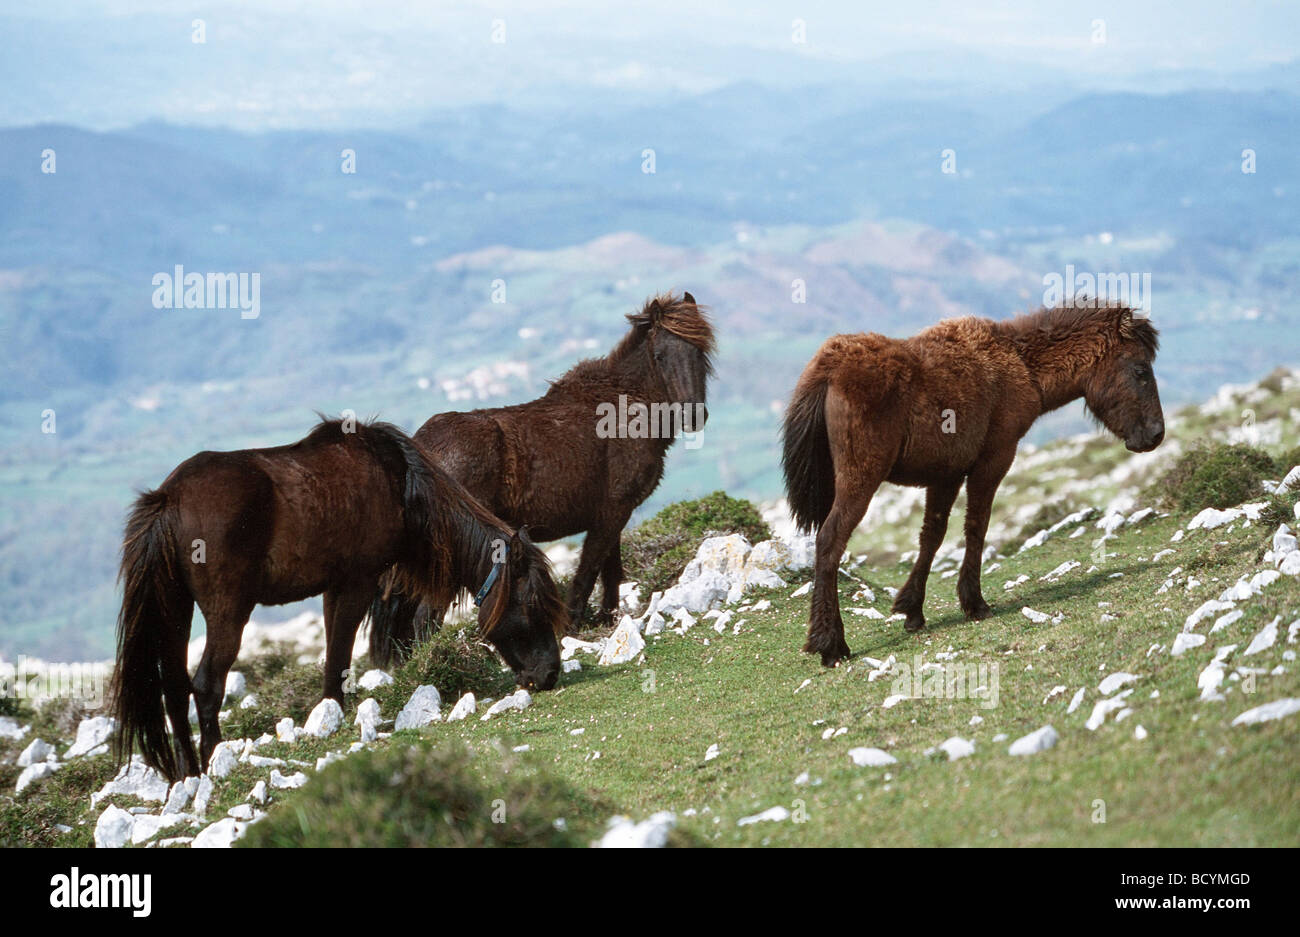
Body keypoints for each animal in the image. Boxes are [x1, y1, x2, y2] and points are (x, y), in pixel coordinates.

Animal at [115, 421, 569, 779]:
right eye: (531, 606)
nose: (549, 673)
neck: (399, 484)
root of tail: (169, 499)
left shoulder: (334, 589)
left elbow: (335, 656)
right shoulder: (356, 584)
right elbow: (339, 658)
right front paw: (332, 717)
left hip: (176, 610)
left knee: (174, 689)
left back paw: (188, 772)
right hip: (228, 612)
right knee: (207, 685)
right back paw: (213, 762)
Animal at [369, 288, 712, 662]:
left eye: (699, 351)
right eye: (660, 356)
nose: (694, 415)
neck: (623, 407)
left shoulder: (614, 513)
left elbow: (610, 569)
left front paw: (609, 618)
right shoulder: (612, 513)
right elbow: (589, 571)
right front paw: (571, 627)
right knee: (425, 618)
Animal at [780, 302, 1170, 662]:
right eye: (1140, 370)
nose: (1155, 434)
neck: (1019, 364)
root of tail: (829, 368)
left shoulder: (946, 475)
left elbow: (932, 537)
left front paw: (912, 609)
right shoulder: (992, 462)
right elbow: (976, 528)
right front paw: (974, 603)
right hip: (859, 481)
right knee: (830, 541)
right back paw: (830, 644)